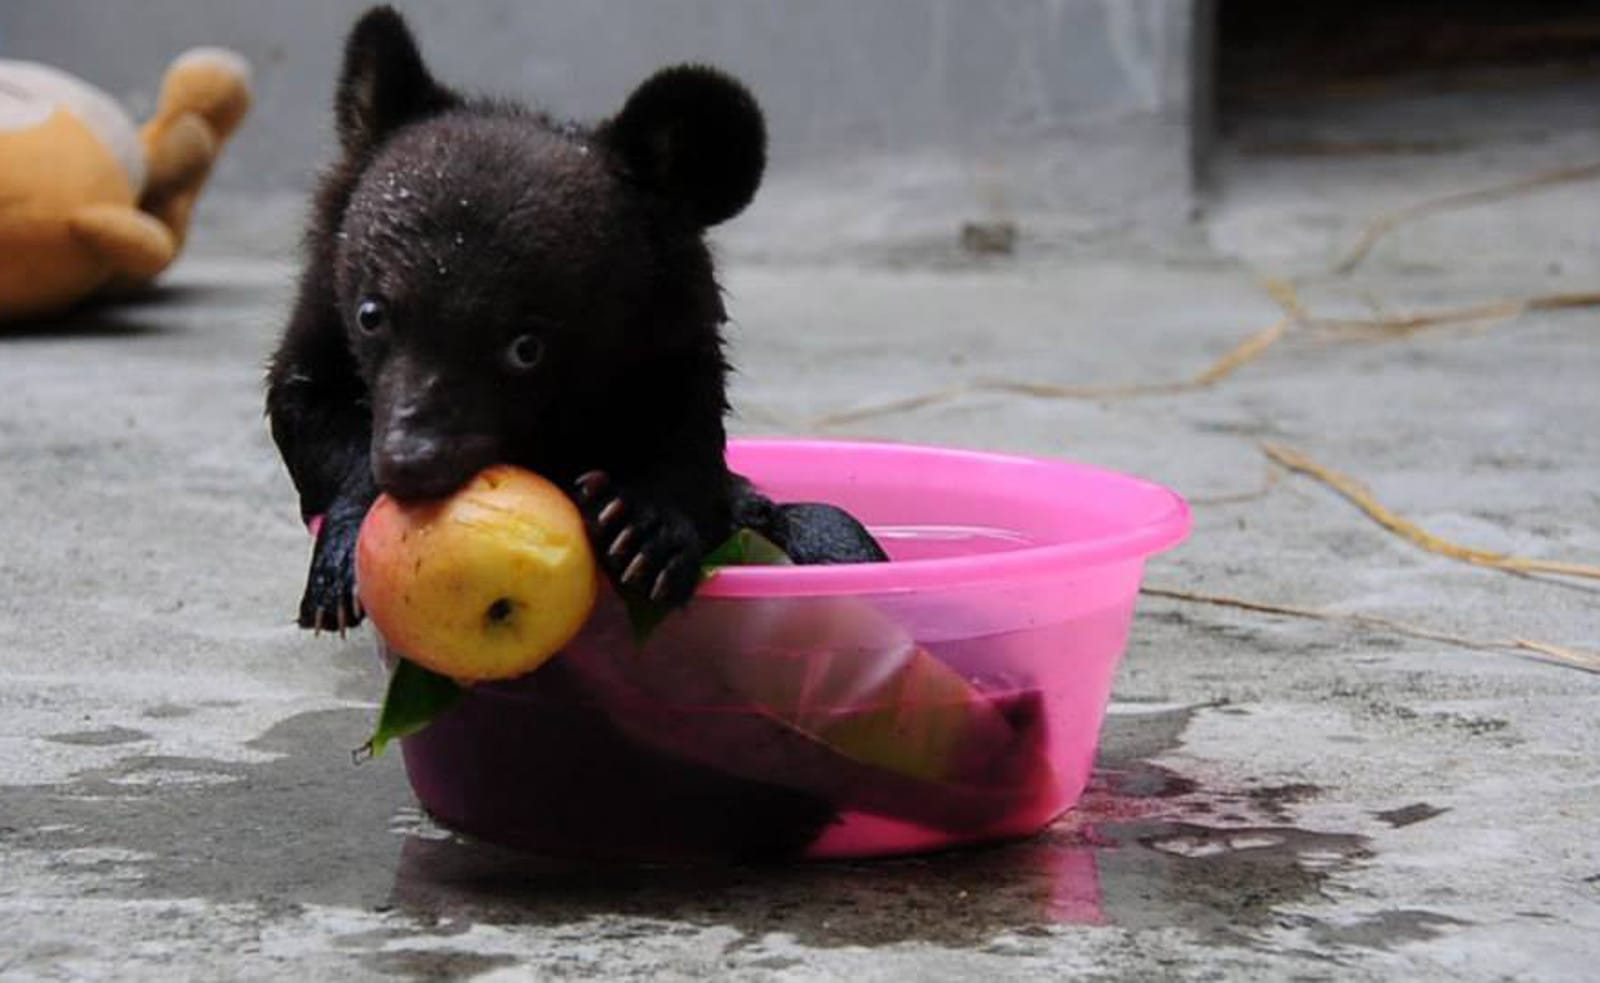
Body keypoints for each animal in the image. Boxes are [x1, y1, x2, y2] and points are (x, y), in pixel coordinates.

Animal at [265, 6, 884, 635]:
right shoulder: (321, 321)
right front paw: (339, 566)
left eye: (526, 347)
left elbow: (691, 456)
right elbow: (306, 408)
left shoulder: (673, 348)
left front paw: (643, 533)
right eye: (371, 315)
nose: (411, 461)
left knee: (824, 525)